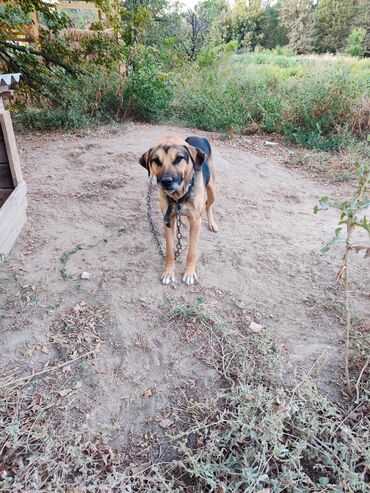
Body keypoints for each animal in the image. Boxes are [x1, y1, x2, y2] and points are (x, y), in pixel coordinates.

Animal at [140, 135, 218, 284]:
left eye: (178, 159)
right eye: (155, 160)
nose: (166, 181)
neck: (179, 197)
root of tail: (198, 136)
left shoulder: (196, 221)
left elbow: (192, 252)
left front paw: (189, 273)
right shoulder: (168, 220)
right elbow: (169, 250)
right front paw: (169, 272)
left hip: (212, 190)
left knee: (208, 205)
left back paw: (212, 223)